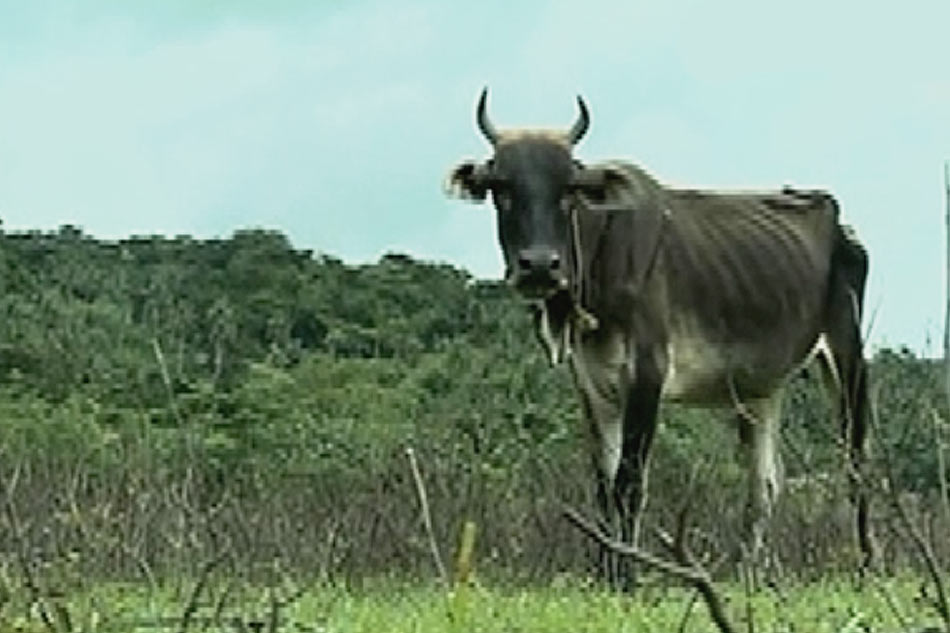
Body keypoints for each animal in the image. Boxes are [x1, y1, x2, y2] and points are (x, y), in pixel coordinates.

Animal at [446, 87, 876, 584]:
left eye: (569, 188)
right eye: (501, 186)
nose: (539, 266)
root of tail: (836, 216)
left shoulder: (647, 373)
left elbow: (629, 482)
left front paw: (628, 577)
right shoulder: (591, 385)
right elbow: (603, 487)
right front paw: (606, 576)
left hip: (847, 353)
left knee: (855, 461)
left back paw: (866, 565)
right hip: (761, 389)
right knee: (765, 482)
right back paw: (749, 575)